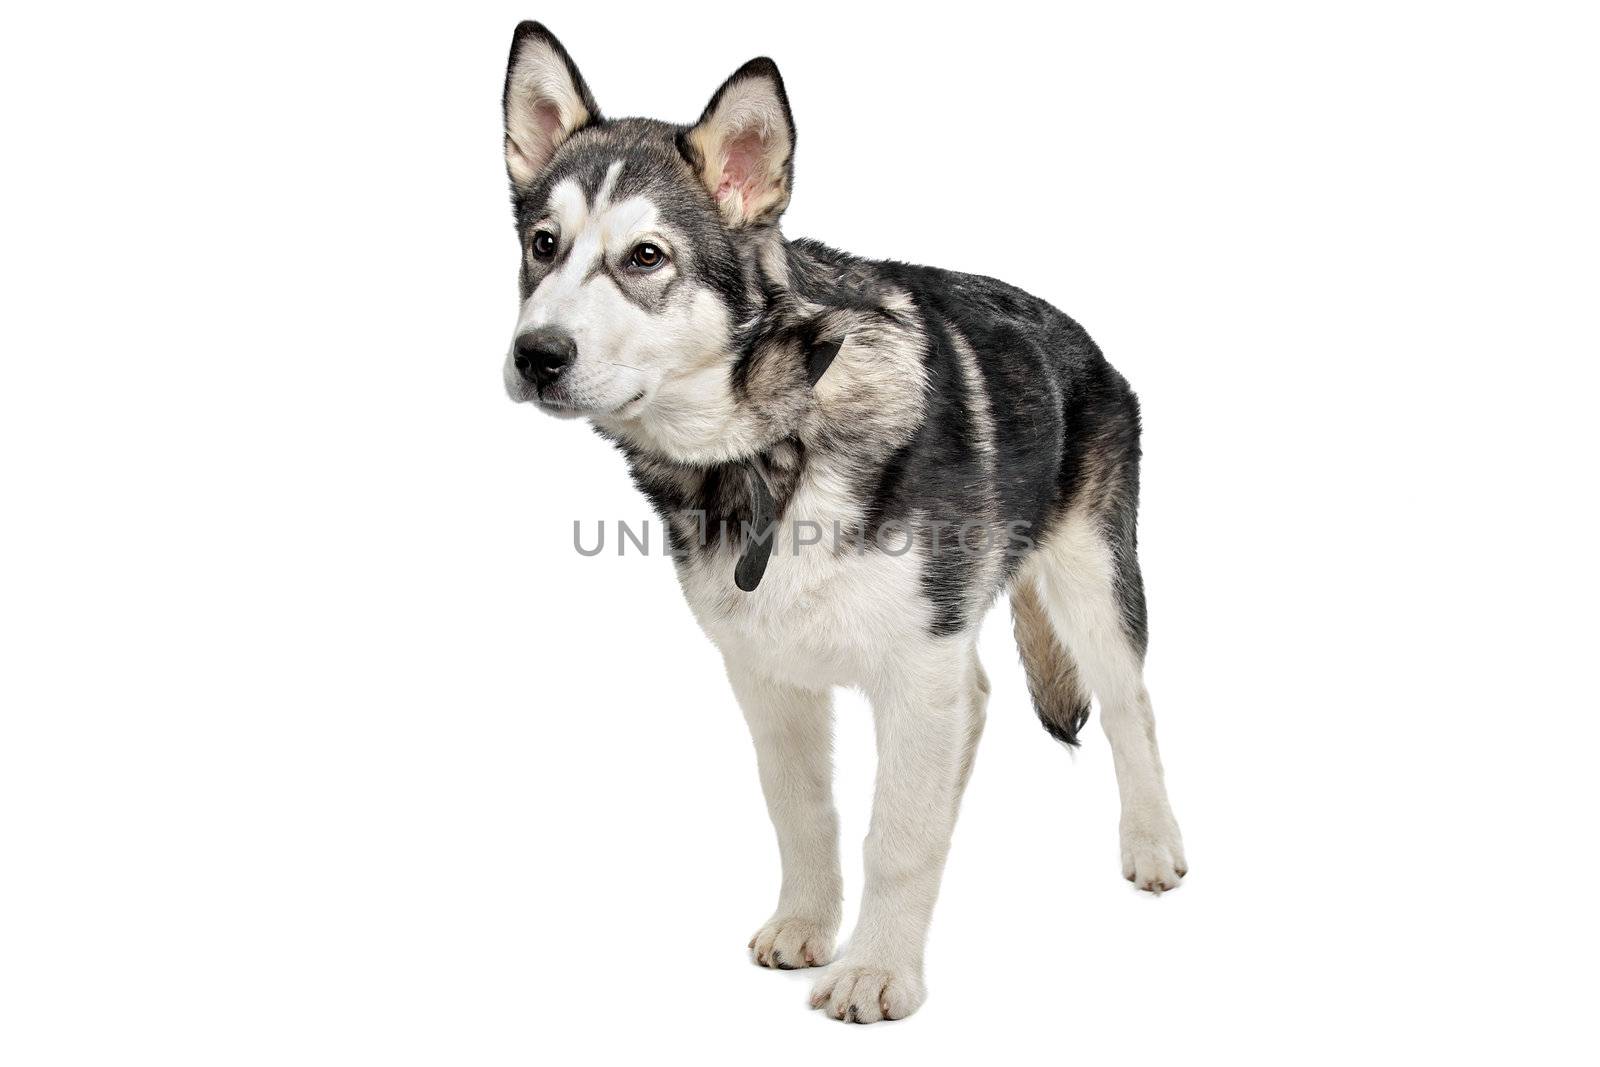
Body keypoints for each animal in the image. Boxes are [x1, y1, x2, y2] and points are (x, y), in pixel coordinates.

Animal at [499, 20, 1190, 1023]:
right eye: (543, 245)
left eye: (646, 258)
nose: (535, 354)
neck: (772, 444)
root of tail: (1082, 337)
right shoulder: (767, 675)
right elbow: (803, 811)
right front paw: (808, 923)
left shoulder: (918, 666)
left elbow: (895, 834)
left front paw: (879, 968)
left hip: (1093, 584)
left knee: (1131, 705)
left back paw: (1151, 841)